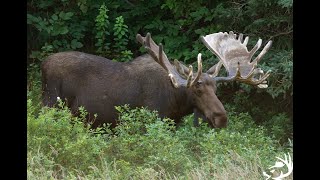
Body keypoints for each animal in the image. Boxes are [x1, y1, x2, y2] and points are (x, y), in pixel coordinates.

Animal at [42, 31, 272, 129]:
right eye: (197, 90)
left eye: (216, 89)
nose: (221, 118)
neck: (175, 105)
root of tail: (43, 65)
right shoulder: (151, 120)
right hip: (51, 104)